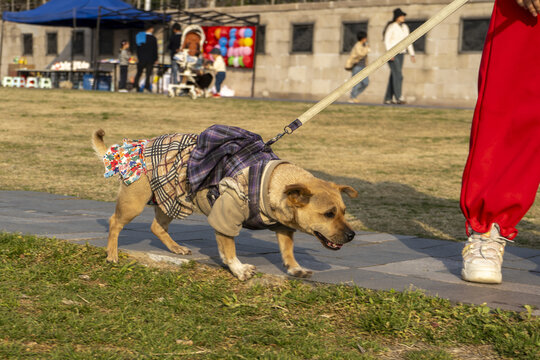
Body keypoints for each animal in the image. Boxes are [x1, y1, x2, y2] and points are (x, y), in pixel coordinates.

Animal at [93, 129, 358, 282]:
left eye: (344, 213)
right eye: (328, 214)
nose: (352, 235)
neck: (272, 181)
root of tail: (142, 145)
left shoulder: (283, 225)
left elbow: (287, 249)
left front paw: (295, 269)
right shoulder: (226, 215)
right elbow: (229, 250)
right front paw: (239, 270)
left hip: (172, 197)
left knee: (156, 227)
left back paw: (176, 248)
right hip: (134, 201)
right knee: (115, 222)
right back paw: (112, 254)